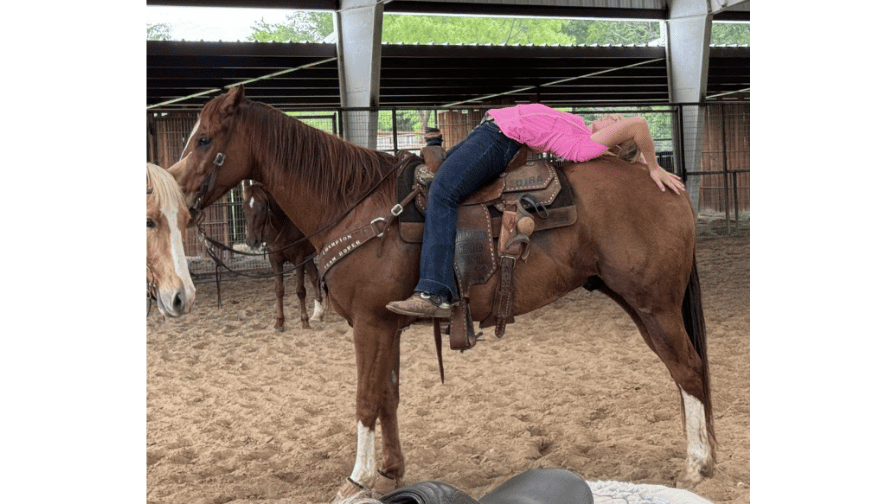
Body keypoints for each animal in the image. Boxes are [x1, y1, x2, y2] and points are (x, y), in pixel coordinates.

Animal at [242, 182, 326, 330]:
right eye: (243, 208)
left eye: (263, 207)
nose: (252, 241)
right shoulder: (275, 259)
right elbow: (279, 290)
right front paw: (279, 322)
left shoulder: (299, 258)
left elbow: (300, 290)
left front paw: (304, 321)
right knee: (315, 277)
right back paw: (317, 314)